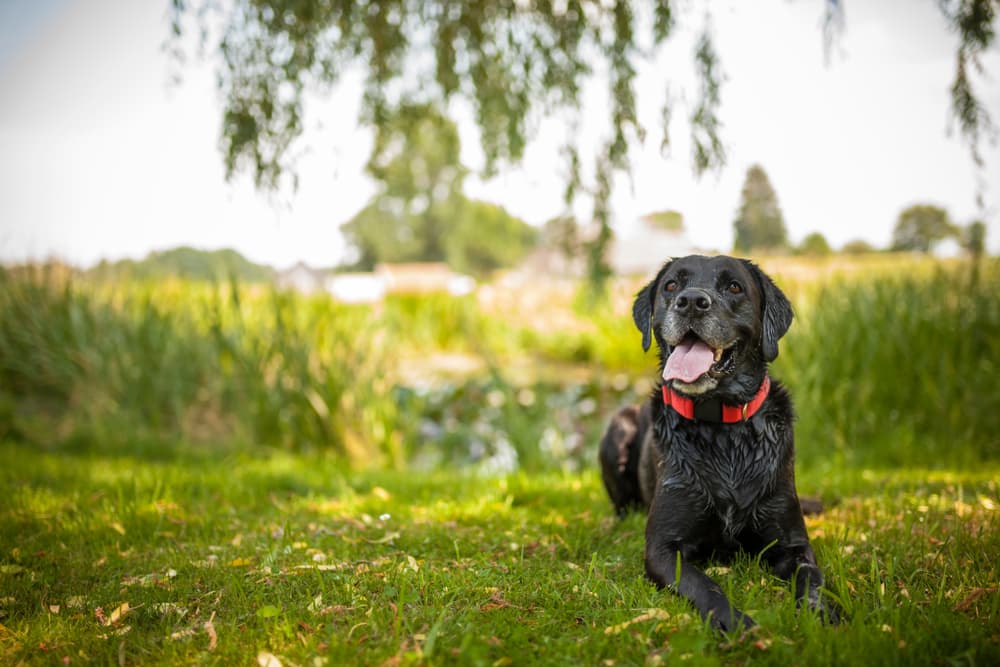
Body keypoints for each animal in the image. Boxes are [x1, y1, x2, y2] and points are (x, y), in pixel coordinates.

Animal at [600, 254, 836, 632]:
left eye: (734, 287)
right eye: (671, 285)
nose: (691, 302)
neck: (722, 429)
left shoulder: (792, 542)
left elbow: (811, 577)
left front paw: (823, 614)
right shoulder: (662, 548)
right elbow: (704, 584)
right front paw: (738, 624)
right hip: (617, 429)